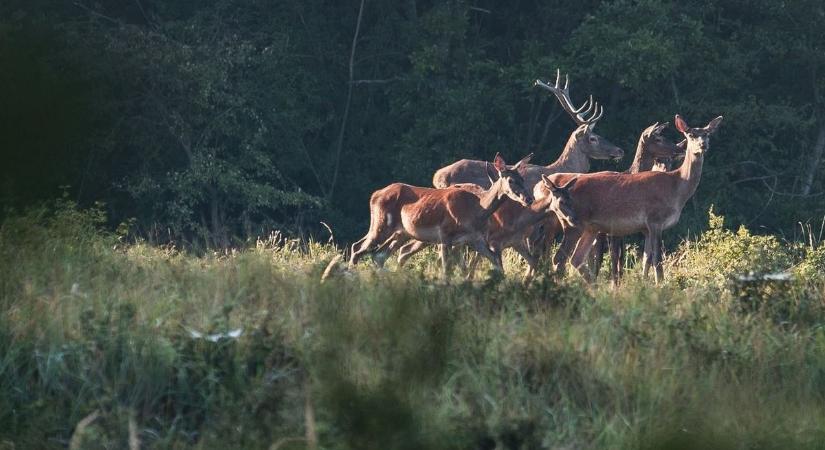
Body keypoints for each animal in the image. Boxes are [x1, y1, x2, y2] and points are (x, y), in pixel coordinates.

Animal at [348, 153, 536, 276]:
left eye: (523, 179)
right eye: (511, 180)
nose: (529, 198)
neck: (477, 210)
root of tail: (375, 194)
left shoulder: (475, 239)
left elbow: (496, 263)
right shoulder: (445, 235)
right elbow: (447, 269)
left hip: (401, 232)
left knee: (378, 255)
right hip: (381, 224)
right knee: (358, 248)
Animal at [548, 114, 720, 284]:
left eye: (707, 134)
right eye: (691, 135)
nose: (703, 145)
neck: (677, 188)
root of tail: (558, 192)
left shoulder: (647, 228)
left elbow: (646, 260)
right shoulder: (655, 220)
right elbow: (657, 261)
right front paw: (660, 285)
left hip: (590, 228)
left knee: (575, 259)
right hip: (573, 222)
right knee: (560, 258)